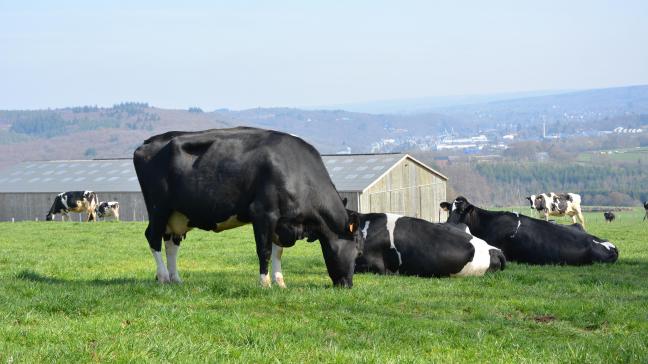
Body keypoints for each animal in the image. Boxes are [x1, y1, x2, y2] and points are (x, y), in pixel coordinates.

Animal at [133, 127, 364, 288]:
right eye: (357, 251)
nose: (347, 285)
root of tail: (147, 143)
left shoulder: (282, 223)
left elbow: (277, 252)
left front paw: (280, 282)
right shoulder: (263, 213)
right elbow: (264, 250)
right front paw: (265, 283)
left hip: (177, 214)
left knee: (171, 243)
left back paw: (176, 279)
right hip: (158, 208)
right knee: (152, 238)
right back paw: (163, 277)